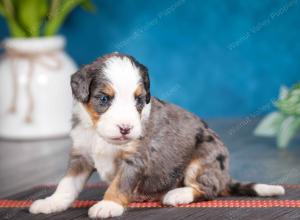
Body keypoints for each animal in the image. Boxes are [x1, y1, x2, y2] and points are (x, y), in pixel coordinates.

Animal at [29, 52, 284, 218]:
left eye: (139, 99)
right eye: (103, 98)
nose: (126, 129)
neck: (99, 135)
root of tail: (225, 176)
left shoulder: (135, 158)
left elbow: (120, 183)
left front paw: (109, 205)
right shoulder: (80, 155)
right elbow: (67, 184)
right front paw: (51, 203)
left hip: (205, 155)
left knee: (208, 189)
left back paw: (177, 194)